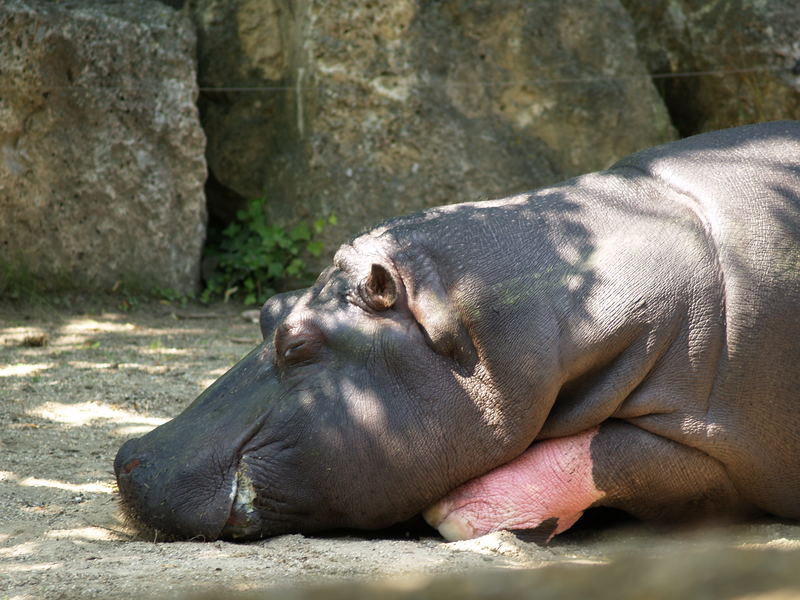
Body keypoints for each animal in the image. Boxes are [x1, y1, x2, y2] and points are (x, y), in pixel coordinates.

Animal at [114, 122, 800, 544]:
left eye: (297, 343)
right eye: (268, 307)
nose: (130, 458)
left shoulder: (724, 444)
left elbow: (615, 452)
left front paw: (458, 512)